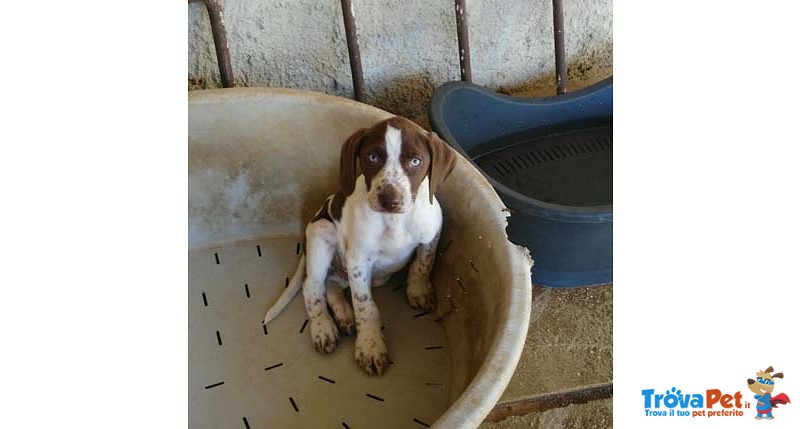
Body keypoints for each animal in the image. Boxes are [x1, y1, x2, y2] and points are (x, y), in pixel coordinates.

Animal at [264, 116, 456, 374]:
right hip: (321, 235)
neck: (393, 221)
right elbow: (366, 306)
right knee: (313, 287)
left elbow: (422, 265)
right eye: (372, 157)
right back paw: (324, 327)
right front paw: (370, 346)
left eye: (416, 161)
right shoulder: (358, 262)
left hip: (362, 273)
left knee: (332, 284)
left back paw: (344, 315)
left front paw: (419, 290)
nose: (389, 199)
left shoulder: (431, 236)